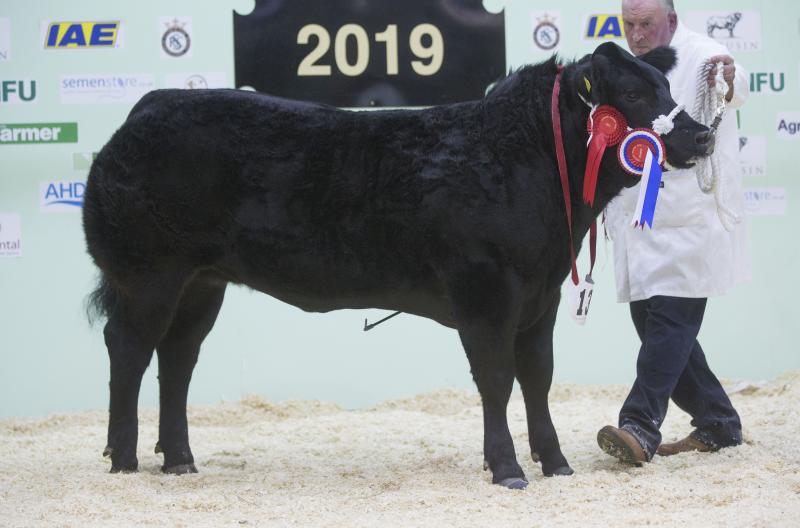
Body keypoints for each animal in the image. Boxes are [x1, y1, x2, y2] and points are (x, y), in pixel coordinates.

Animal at [84, 43, 712, 488]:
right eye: (631, 95)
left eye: (665, 86)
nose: (703, 135)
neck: (525, 157)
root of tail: (153, 104)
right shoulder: (484, 292)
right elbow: (497, 379)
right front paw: (507, 469)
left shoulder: (542, 294)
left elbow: (538, 376)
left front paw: (555, 463)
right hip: (148, 276)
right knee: (128, 350)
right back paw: (123, 458)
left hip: (201, 283)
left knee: (177, 360)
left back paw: (179, 460)